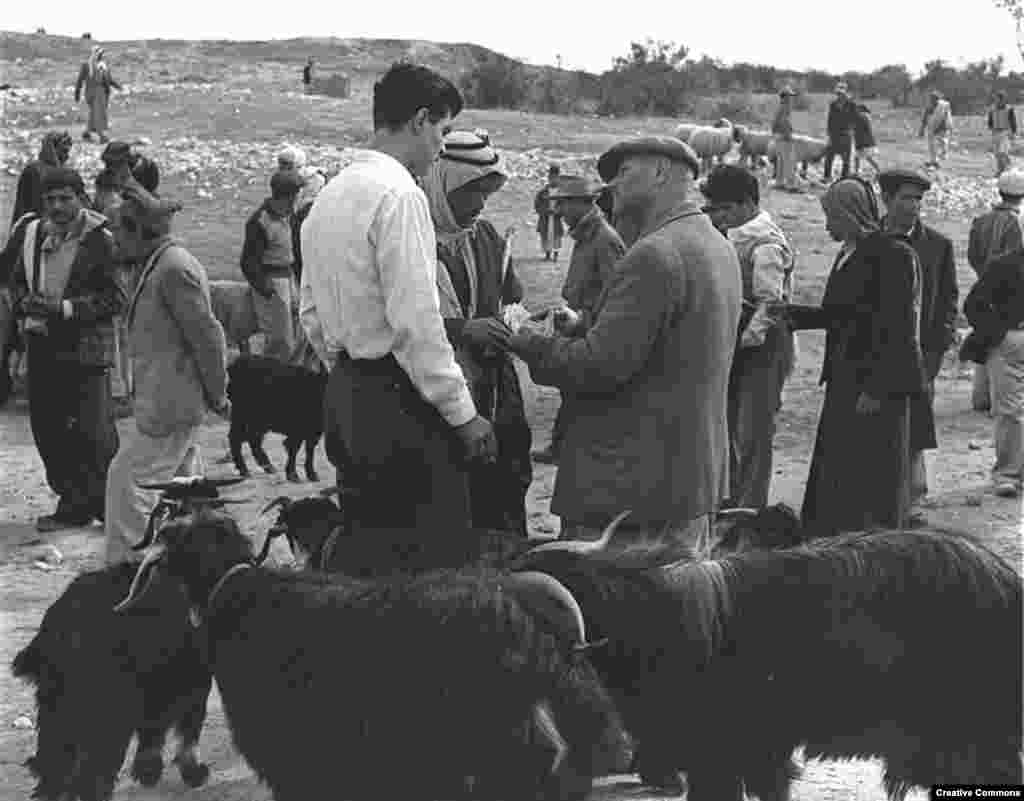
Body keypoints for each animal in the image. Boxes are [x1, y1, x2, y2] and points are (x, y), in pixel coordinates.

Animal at [9, 479, 243, 798]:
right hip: (104, 712)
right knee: (92, 773)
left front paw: (149, 770)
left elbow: (155, 728)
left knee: (55, 768)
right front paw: (191, 772)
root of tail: (59, 626)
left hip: (56, 711)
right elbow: (188, 726)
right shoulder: (193, 678)